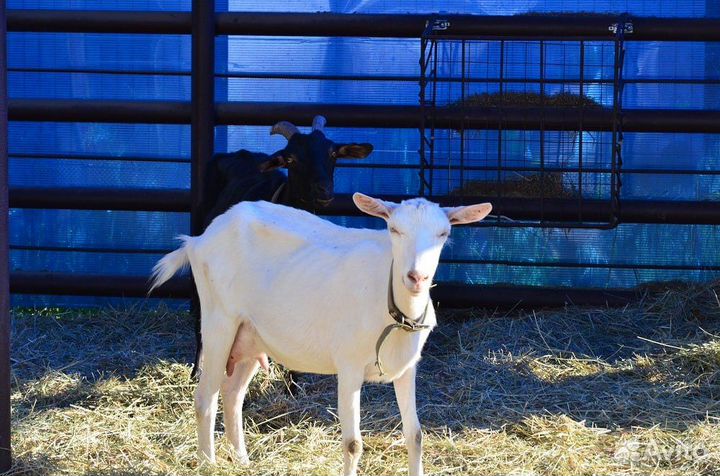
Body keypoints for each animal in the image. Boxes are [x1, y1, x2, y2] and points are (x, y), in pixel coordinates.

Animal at [149, 194, 492, 476]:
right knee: (205, 398)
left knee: (232, 395)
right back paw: (208, 463)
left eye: (443, 234)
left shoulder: (407, 368)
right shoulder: (349, 366)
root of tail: (198, 240)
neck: (389, 301)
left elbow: (415, 434)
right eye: (394, 229)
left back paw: (242, 461)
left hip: (250, 333)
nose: (416, 277)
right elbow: (353, 443)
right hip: (219, 321)